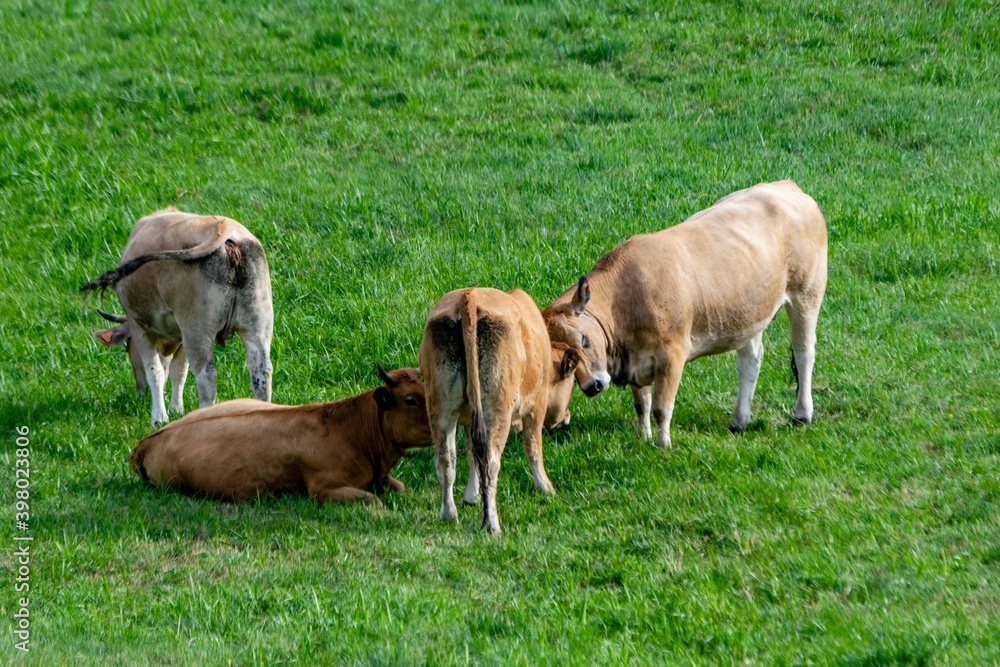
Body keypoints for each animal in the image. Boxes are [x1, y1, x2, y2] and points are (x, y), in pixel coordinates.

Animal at [83, 206, 274, 426]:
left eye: (127, 347)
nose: (140, 393)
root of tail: (225, 227)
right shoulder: (181, 334)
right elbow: (178, 370)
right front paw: (176, 409)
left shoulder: (140, 326)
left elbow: (155, 370)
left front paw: (159, 416)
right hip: (257, 326)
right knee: (261, 370)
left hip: (197, 330)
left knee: (206, 376)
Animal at [420, 288, 580, 536]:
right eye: (571, 383)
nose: (567, 417)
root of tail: (469, 295)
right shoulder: (536, 405)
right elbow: (533, 446)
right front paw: (545, 487)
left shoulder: (469, 419)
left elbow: (471, 452)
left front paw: (471, 496)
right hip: (498, 408)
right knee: (491, 462)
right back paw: (492, 525)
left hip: (440, 406)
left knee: (447, 460)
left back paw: (449, 514)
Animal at [544, 180, 832, 446]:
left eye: (584, 339)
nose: (593, 386)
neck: (624, 298)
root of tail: (786, 185)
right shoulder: (635, 358)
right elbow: (642, 404)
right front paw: (643, 438)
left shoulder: (673, 354)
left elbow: (661, 407)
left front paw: (663, 445)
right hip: (750, 311)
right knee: (750, 359)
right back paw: (740, 421)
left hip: (807, 293)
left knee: (804, 352)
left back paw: (802, 414)